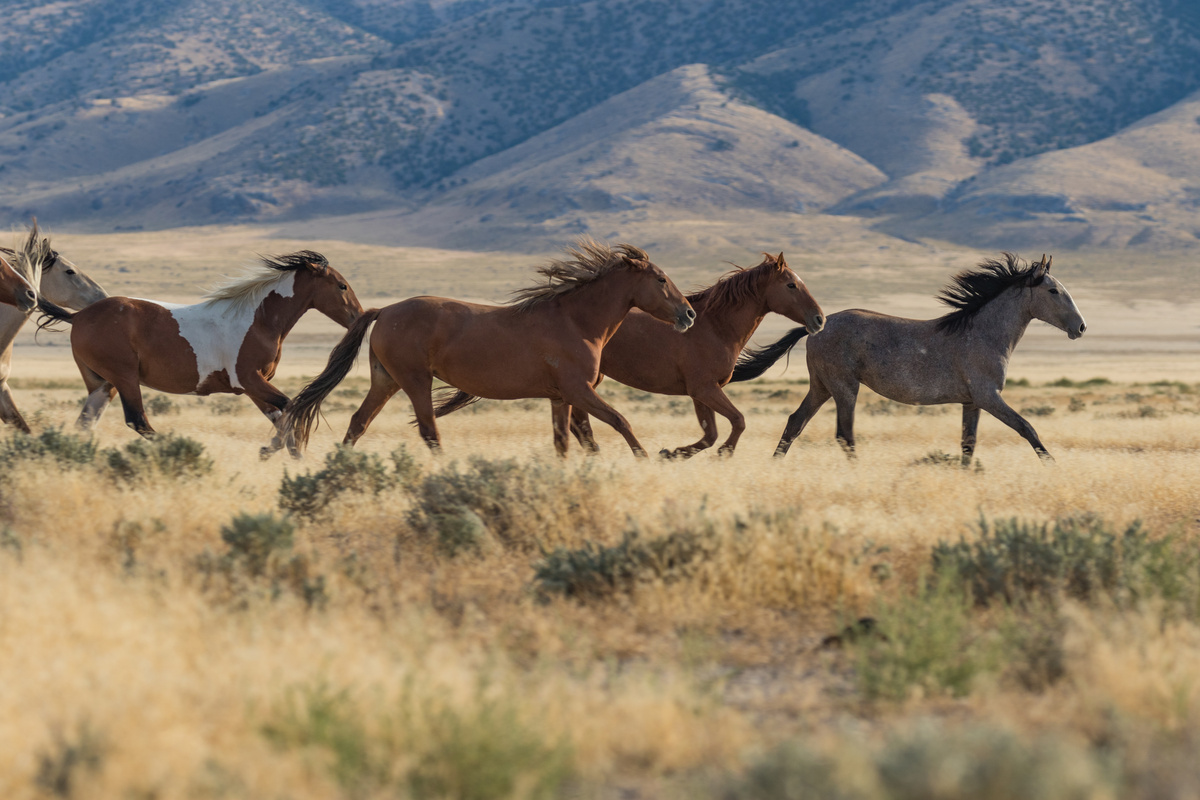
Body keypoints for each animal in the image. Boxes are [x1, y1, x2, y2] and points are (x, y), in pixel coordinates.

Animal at [39, 250, 362, 455]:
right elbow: (291, 407)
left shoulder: (255, 387)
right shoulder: (250, 379)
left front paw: (287, 457)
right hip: (124, 378)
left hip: (102, 384)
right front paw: (270, 451)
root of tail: (78, 316)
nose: (358, 316)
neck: (258, 319)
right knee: (137, 420)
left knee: (86, 422)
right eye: (342, 286)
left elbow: (282, 416)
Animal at [280, 239, 696, 455]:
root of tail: (383, 312)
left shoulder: (561, 397)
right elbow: (620, 421)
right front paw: (646, 459)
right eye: (661, 279)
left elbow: (566, 441)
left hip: (386, 381)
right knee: (429, 432)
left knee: (358, 423)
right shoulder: (579, 390)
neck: (576, 322)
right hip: (415, 381)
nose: (689, 314)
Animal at [436, 253, 830, 460]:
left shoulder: (699, 392)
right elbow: (737, 422)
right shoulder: (704, 388)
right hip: (585, 384)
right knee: (582, 423)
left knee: (578, 424)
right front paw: (717, 454)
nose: (819, 320)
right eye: (791, 285)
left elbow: (711, 433)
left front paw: (674, 453)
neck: (714, 326)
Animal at [729, 250, 1089, 462]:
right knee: (844, 435)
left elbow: (968, 444)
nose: (1082, 327)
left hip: (821, 387)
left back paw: (774, 464)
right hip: (844, 388)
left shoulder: (972, 402)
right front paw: (1052, 465)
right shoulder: (989, 397)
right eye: (1053, 291)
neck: (984, 333)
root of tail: (816, 326)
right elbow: (1027, 428)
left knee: (795, 423)